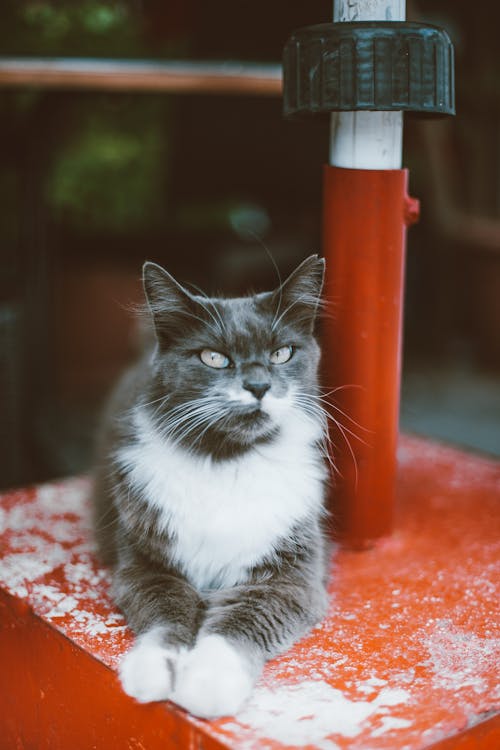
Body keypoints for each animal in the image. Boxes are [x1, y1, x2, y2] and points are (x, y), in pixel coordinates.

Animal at [92, 258, 330, 724]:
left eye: (281, 353)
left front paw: (208, 685)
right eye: (214, 358)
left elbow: (237, 628)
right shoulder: (147, 567)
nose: (258, 386)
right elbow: (167, 617)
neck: (226, 461)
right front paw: (151, 674)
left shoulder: (287, 581)